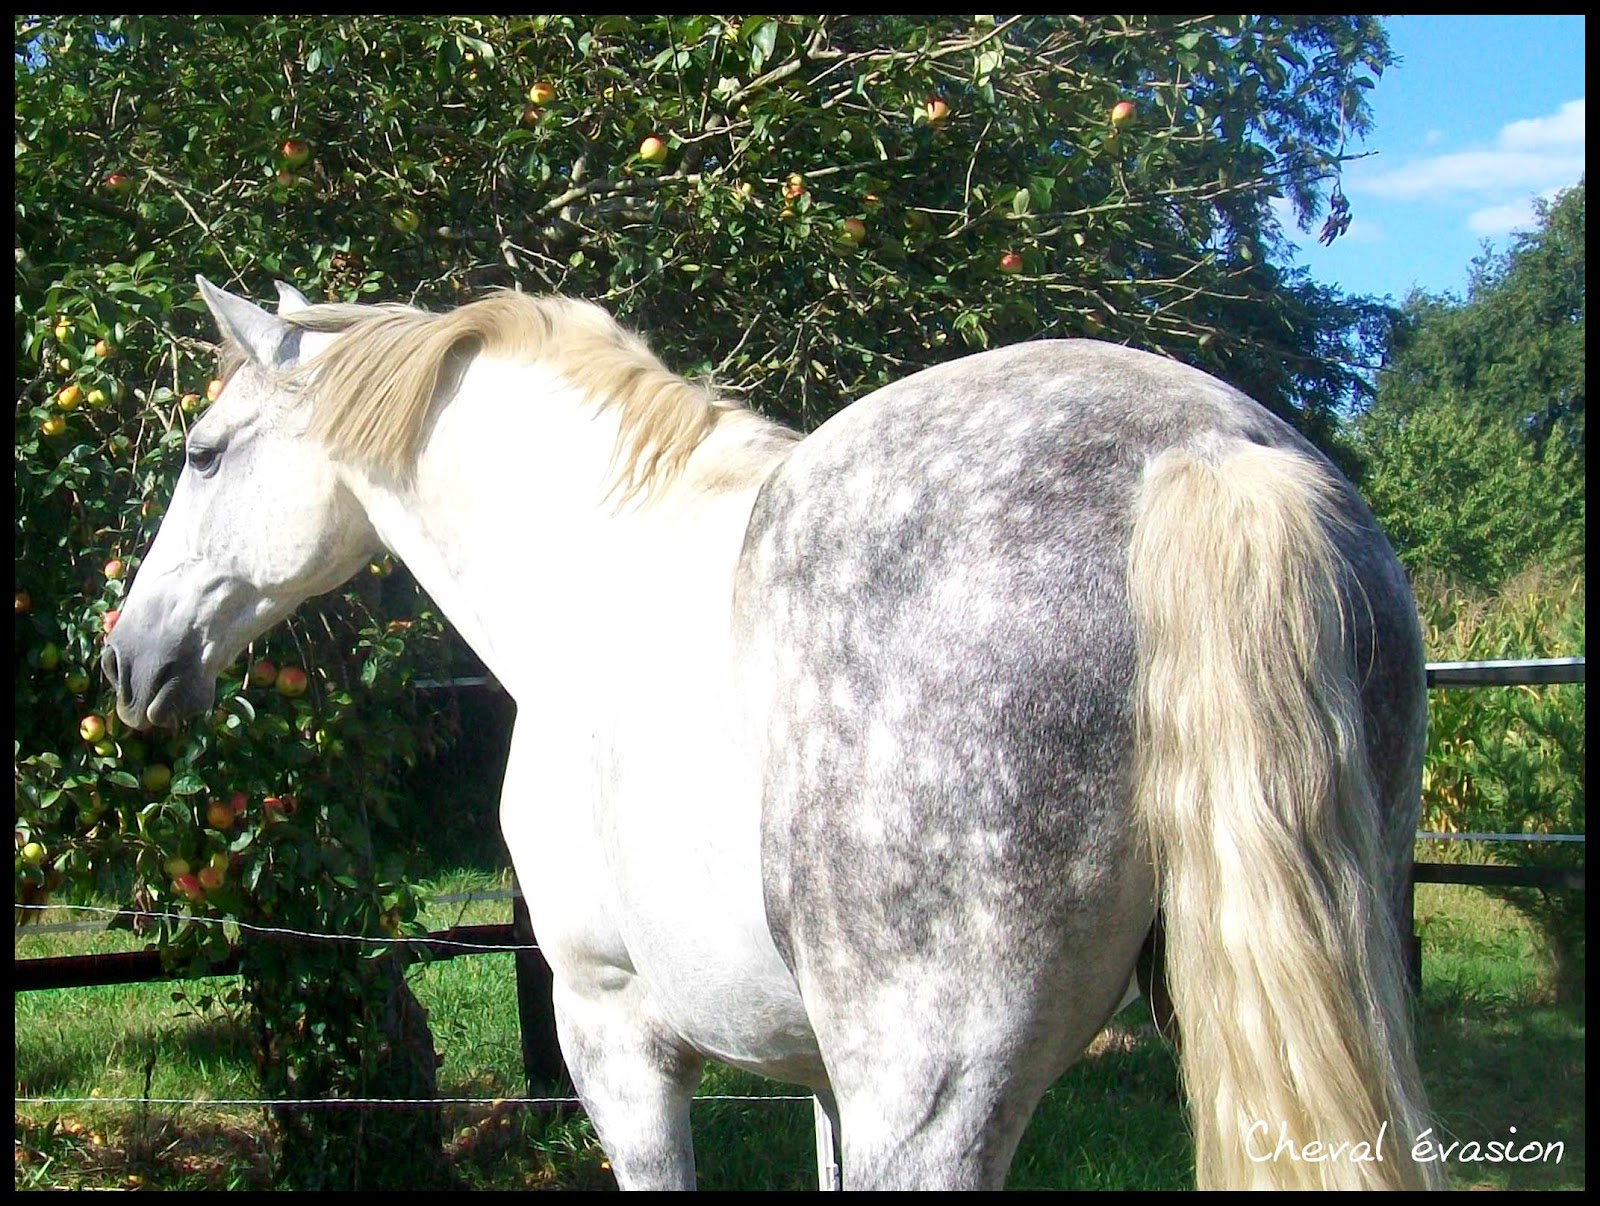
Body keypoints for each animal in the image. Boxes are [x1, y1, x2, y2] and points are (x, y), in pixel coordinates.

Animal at [103, 277, 1440, 1190]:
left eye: (203, 454)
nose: (129, 659)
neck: (592, 572)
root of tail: (1203, 455)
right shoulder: (822, 1082)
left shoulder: (614, 1034)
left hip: (932, 1092)